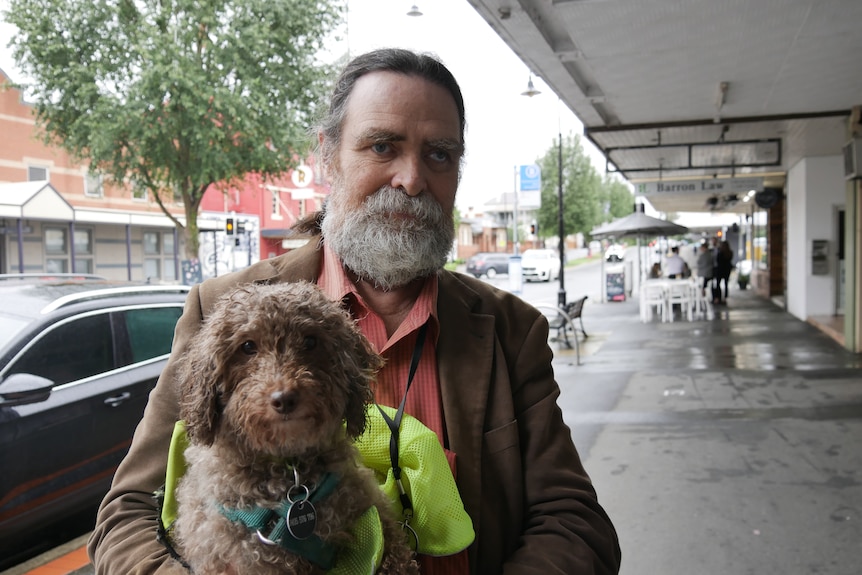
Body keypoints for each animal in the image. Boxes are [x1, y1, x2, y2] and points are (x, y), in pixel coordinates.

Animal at [171, 282, 418, 575]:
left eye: (310, 341)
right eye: (247, 346)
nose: (285, 399)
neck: (291, 474)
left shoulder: (366, 505)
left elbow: (395, 551)